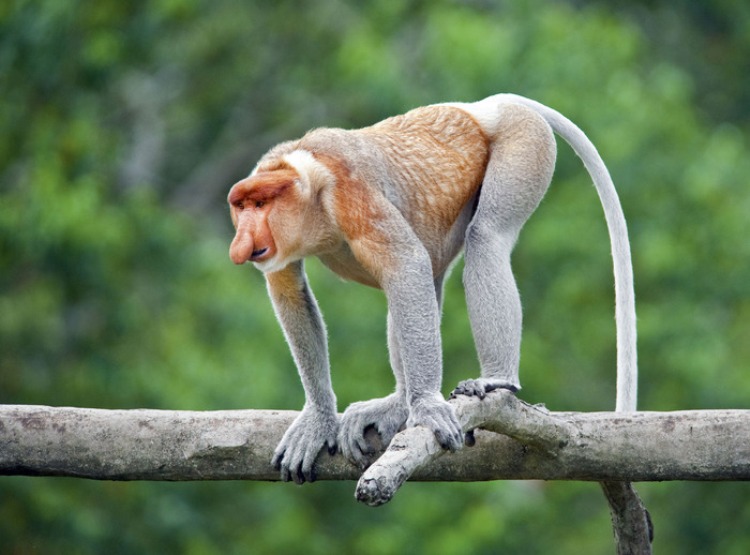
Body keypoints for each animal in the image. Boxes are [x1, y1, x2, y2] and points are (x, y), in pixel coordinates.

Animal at [227, 93, 637, 483]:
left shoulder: (352, 192)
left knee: (485, 237)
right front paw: (317, 420)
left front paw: (425, 405)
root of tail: (483, 107)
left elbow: (406, 266)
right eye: (241, 206)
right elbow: (290, 294)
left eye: (261, 203)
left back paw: (496, 382)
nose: (242, 241)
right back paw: (396, 404)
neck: (309, 185)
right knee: (430, 276)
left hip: (523, 141)